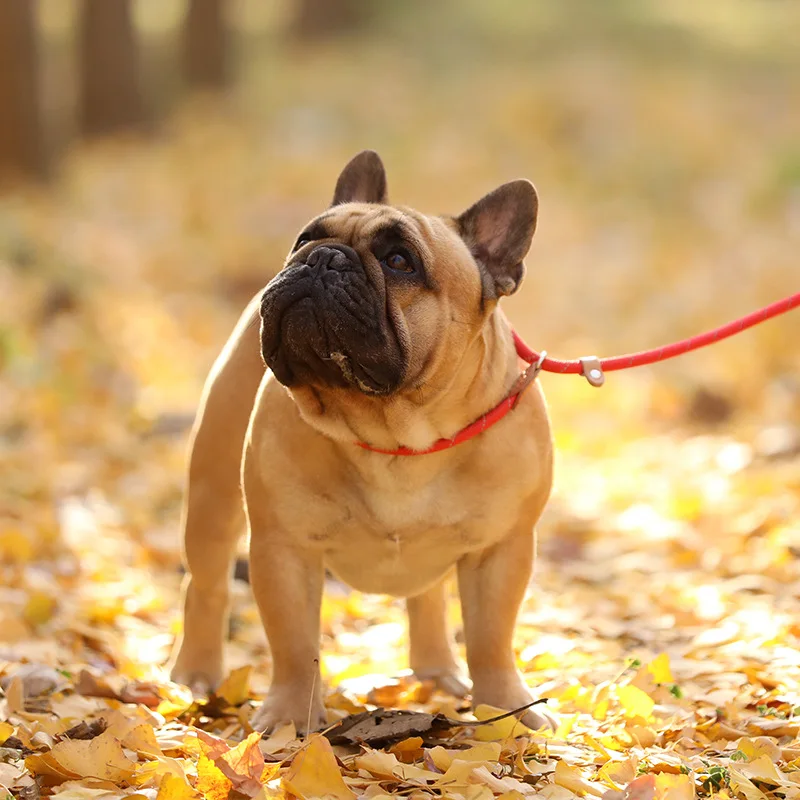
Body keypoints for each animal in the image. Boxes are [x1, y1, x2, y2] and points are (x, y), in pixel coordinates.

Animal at [167, 153, 556, 736]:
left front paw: (505, 712)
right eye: (304, 237)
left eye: (400, 261)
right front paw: (289, 719)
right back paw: (194, 676)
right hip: (213, 496)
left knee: (427, 598)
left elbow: (492, 639)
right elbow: (294, 643)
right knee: (207, 586)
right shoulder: (284, 548)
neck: (395, 430)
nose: (322, 257)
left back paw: (436, 672)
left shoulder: (501, 551)